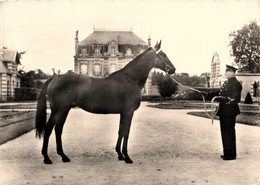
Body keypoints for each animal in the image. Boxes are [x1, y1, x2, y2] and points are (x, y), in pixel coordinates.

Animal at [35, 41, 176, 164]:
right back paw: (47, 158)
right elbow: (126, 132)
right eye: (163, 55)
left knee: (58, 129)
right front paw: (127, 157)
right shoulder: (128, 112)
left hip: (65, 110)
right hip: (57, 110)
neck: (130, 79)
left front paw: (120, 155)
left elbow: (121, 131)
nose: (173, 69)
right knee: (48, 129)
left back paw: (64, 156)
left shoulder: (123, 113)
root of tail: (54, 77)